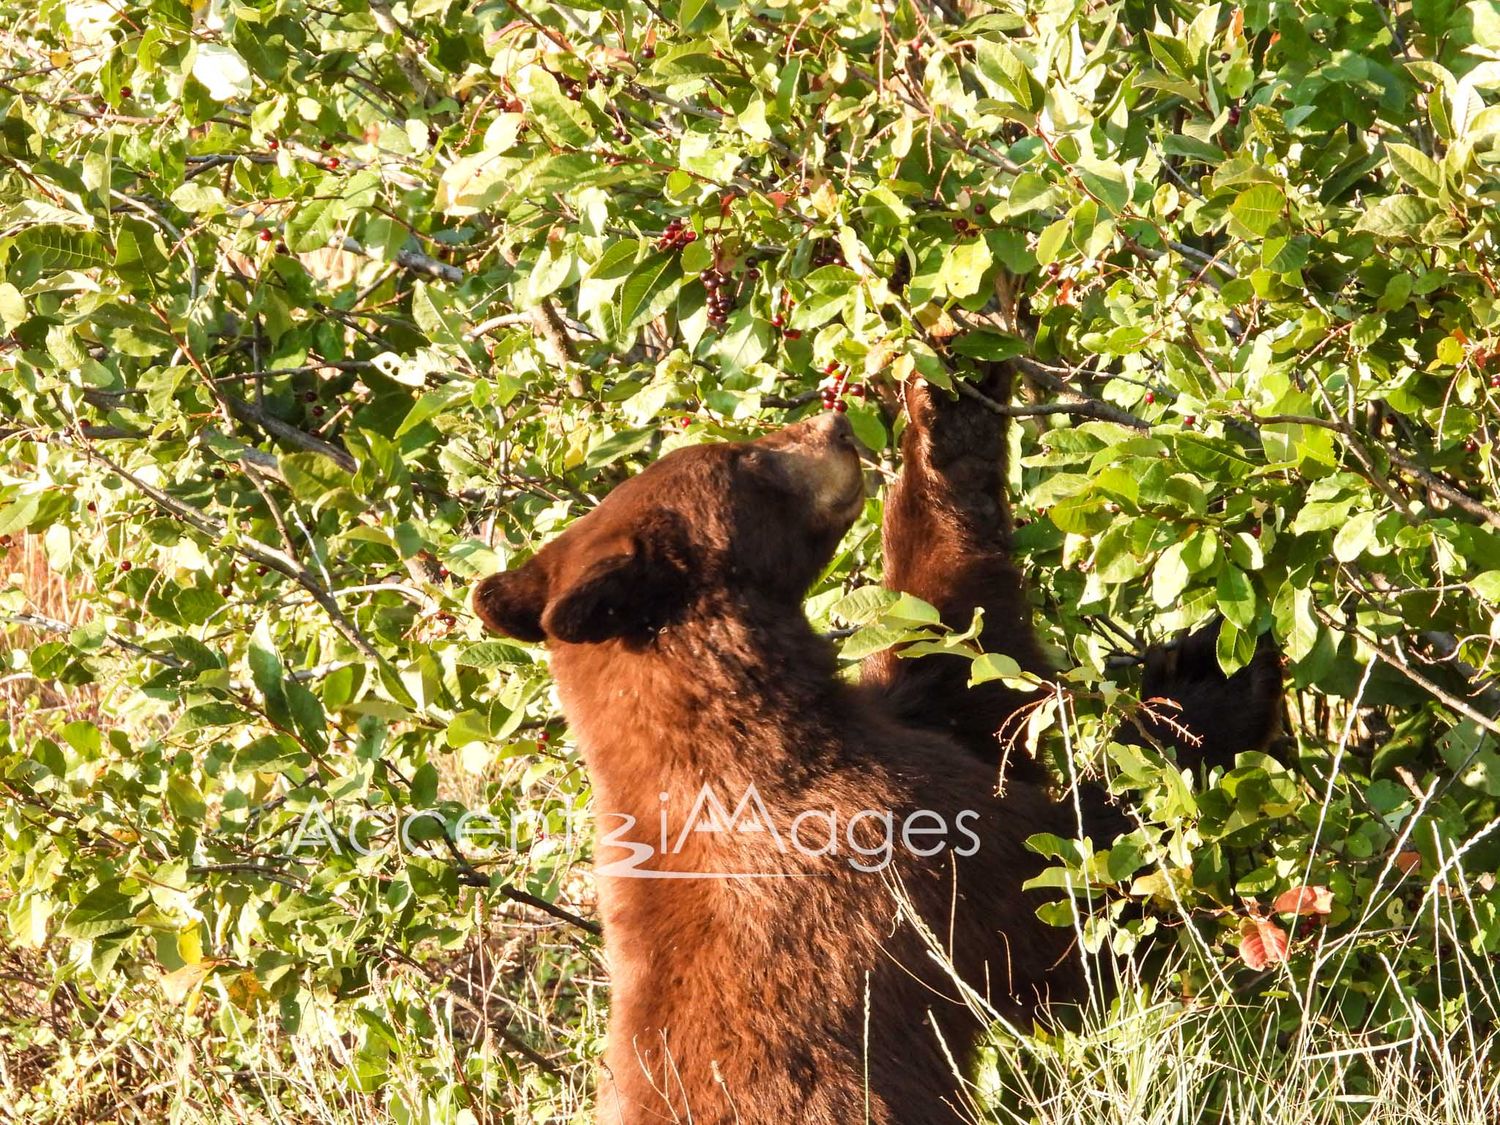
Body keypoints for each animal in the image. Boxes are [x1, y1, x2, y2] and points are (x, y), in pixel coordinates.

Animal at [472, 368, 1283, 1124]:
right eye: (745, 458)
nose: (831, 425)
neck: (743, 731)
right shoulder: (887, 844)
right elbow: (1069, 903)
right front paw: (1212, 684)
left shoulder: (906, 727)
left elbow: (958, 637)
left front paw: (948, 400)